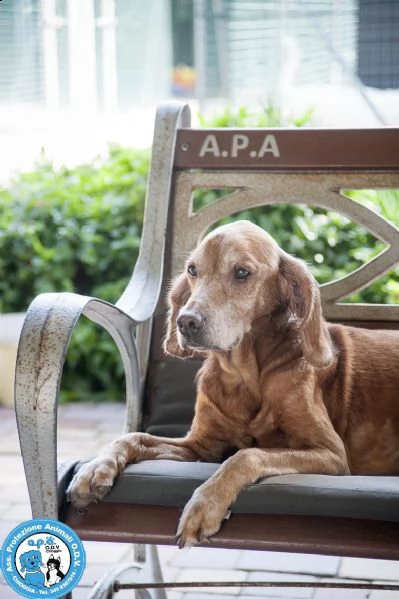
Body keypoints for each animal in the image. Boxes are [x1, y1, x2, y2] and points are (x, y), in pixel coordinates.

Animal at [69, 219, 399, 548]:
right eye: (192, 270)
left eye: (241, 272)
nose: (186, 321)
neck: (244, 376)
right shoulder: (199, 447)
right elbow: (133, 437)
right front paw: (96, 466)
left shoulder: (331, 454)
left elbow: (247, 454)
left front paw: (205, 505)